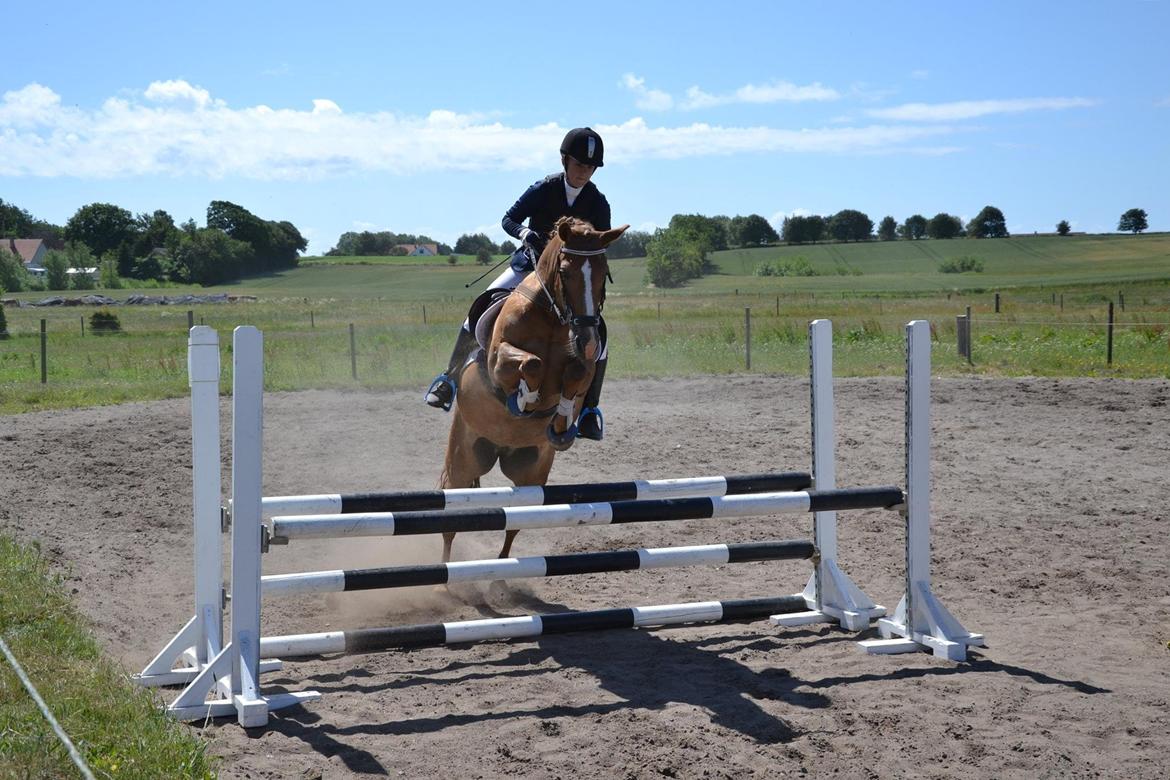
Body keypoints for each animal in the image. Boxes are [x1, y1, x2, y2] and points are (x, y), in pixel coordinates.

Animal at [439, 216, 627, 563]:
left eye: (603, 271)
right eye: (565, 272)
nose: (587, 340)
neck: (554, 318)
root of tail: (500, 449)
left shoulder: (585, 365)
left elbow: (577, 372)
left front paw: (561, 424)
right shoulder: (499, 360)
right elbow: (532, 364)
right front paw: (524, 399)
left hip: (530, 475)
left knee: (514, 523)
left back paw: (501, 568)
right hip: (463, 461)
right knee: (450, 522)